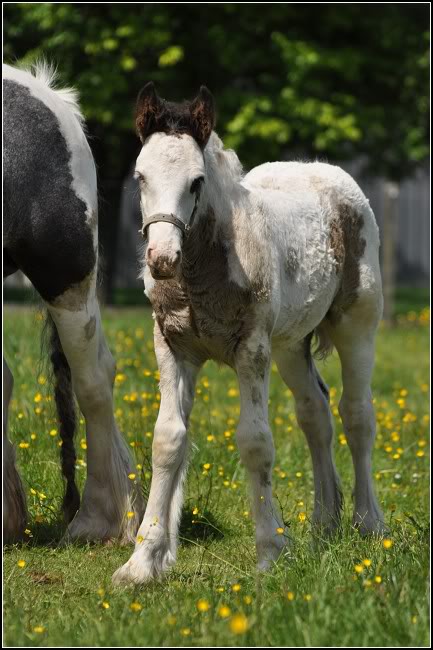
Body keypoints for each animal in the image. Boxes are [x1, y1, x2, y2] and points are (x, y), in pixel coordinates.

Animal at [112, 81, 384, 584]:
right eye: (140, 177)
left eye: (196, 182)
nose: (161, 259)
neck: (202, 272)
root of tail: (328, 173)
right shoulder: (172, 347)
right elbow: (168, 439)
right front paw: (143, 561)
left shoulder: (252, 348)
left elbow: (256, 442)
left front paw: (270, 552)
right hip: (291, 344)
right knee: (315, 413)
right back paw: (324, 525)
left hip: (358, 325)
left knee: (357, 415)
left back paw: (369, 524)